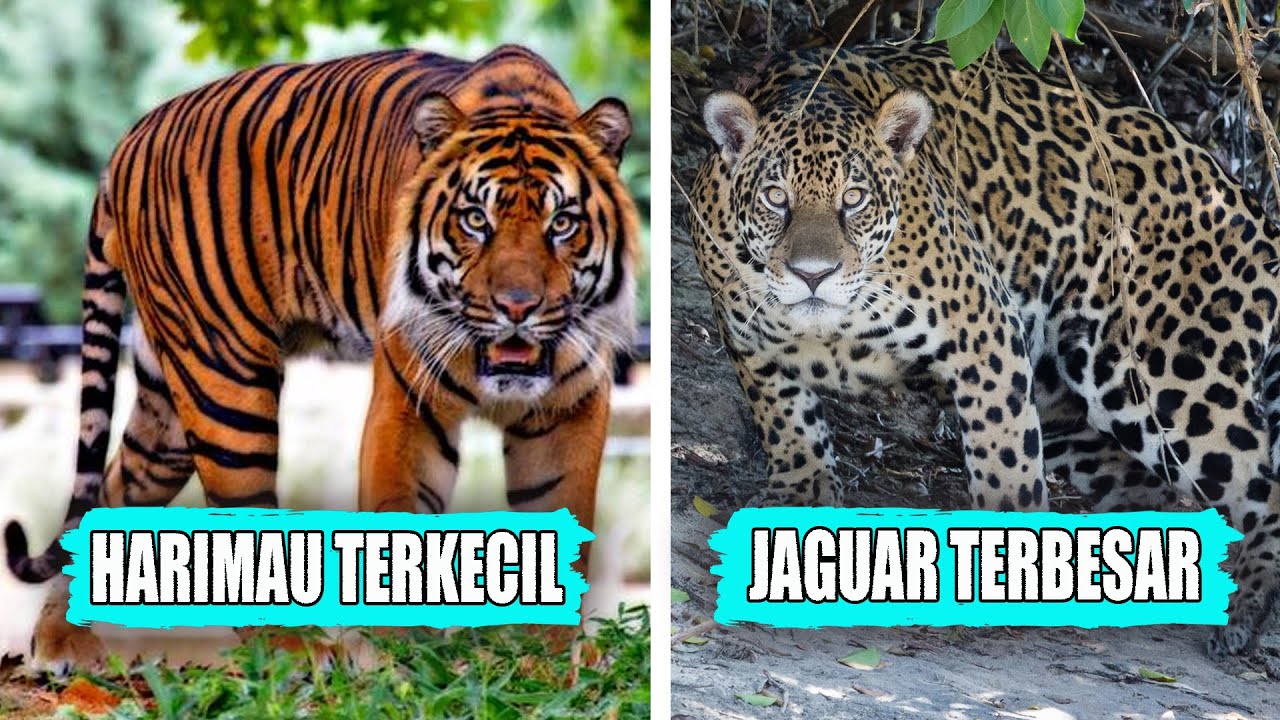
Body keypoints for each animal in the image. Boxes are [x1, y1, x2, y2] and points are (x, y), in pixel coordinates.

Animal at [689, 41, 1280, 656]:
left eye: (853, 199)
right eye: (774, 198)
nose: (813, 274)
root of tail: (1245, 201)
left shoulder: (983, 329)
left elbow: (1004, 455)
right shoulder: (747, 342)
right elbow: (787, 421)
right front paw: (799, 499)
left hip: (1166, 374)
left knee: (1263, 487)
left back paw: (1245, 610)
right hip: (1073, 414)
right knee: (1154, 494)